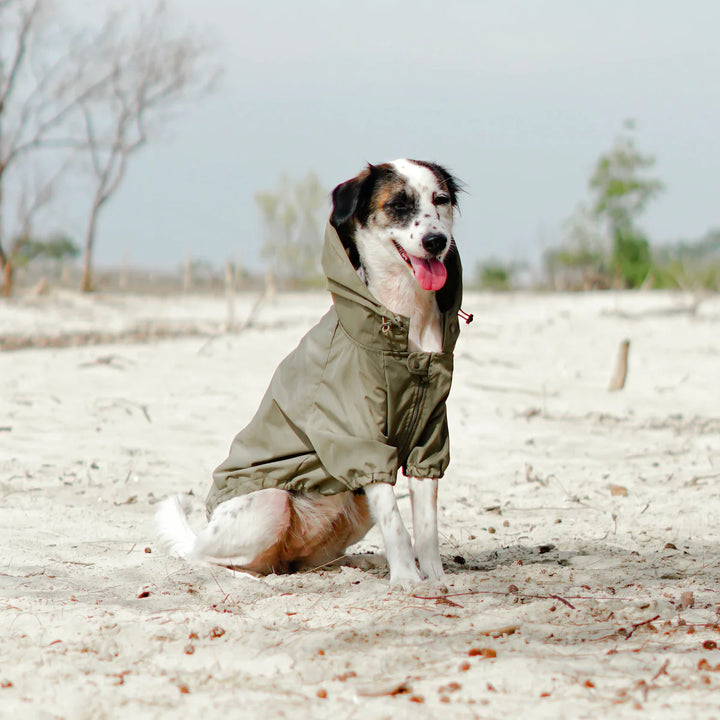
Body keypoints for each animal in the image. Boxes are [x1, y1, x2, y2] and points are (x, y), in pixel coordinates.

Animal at [155, 160, 464, 588]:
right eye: (398, 205)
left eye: (441, 199)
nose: (436, 241)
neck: (405, 319)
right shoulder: (361, 442)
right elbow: (396, 524)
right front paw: (406, 579)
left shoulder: (428, 440)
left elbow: (427, 524)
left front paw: (434, 577)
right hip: (270, 502)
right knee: (207, 557)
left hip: (351, 507)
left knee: (300, 561)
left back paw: (351, 564)